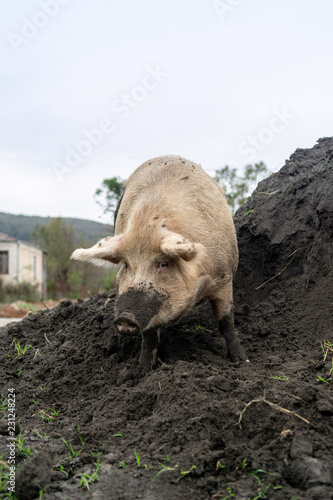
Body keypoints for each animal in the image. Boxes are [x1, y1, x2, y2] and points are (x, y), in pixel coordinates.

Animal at [71, 156, 245, 372]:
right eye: (126, 265)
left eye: (162, 264)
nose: (125, 317)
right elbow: (149, 337)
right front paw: (143, 369)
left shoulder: (224, 278)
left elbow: (226, 323)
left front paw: (241, 362)